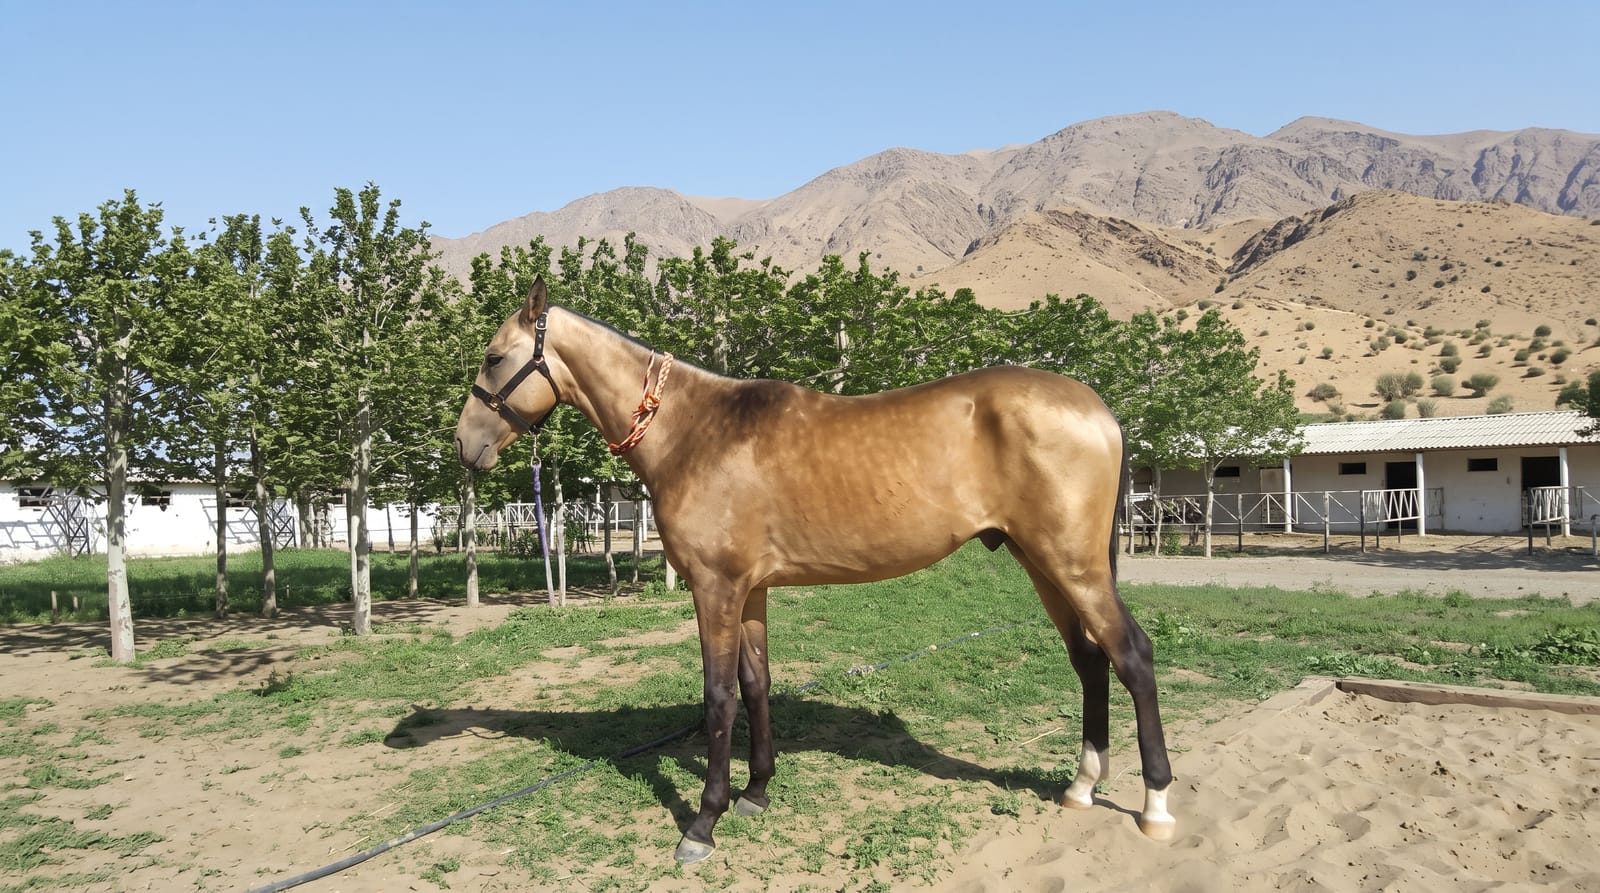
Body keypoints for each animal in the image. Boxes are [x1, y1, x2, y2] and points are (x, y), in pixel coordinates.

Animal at [454, 277, 1174, 863]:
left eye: (494, 356)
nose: (465, 445)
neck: (695, 431)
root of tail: (1098, 408)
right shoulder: (750, 592)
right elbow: (756, 685)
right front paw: (756, 791)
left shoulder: (714, 588)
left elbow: (718, 696)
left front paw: (704, 823)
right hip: (1043, 564)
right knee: (1089, 660)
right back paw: (1081, 784)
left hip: (1073, 565)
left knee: (1132, 655)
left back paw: (1156, 805)